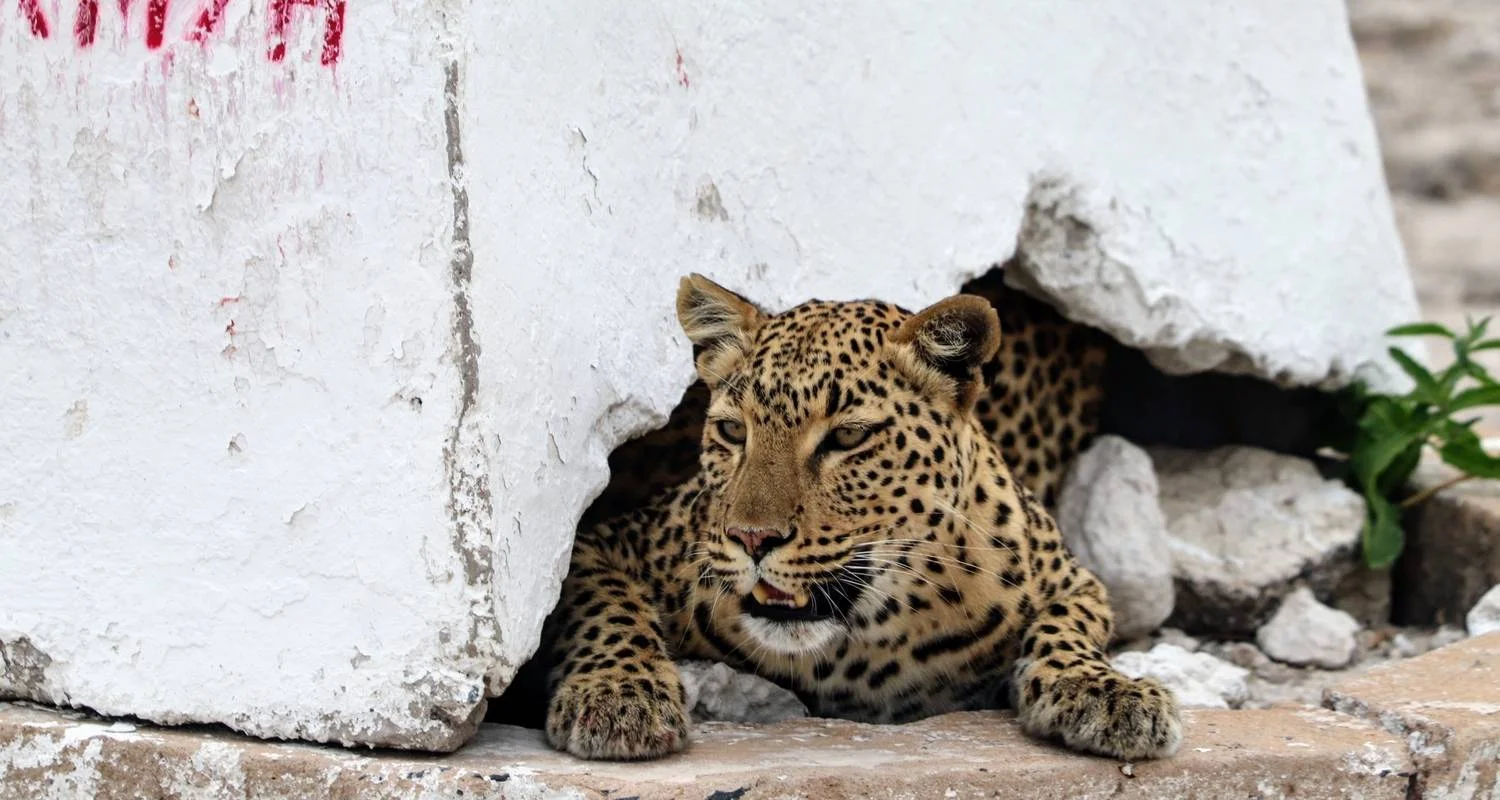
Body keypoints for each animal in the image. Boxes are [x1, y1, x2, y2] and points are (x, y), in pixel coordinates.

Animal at [537, 272, 1181, 763]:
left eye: (847, 437)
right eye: (732, 431)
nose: (751, 538)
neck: (868, 646)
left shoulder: (1072, 578)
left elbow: (1067, 627)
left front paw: (1106, 692)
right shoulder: (606, 542)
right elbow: (608, 610)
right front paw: (619, 695)